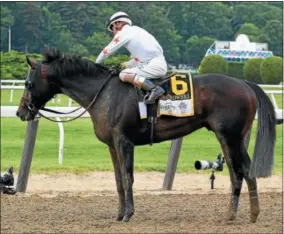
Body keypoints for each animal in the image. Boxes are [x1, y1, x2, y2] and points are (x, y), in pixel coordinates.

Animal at [16, 48, 276, 223]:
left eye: (28, 83)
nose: (20, 112)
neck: (104, 94)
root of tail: (245, 83)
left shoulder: (124, 142)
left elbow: (128, 177)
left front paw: (128, 214)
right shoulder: (112, 145)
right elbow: (118, 180)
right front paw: (119, 213)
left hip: (227, 136)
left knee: (237, 172)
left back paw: (231, 215)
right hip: (236, 138)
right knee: (246, 170)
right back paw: (253, 214)